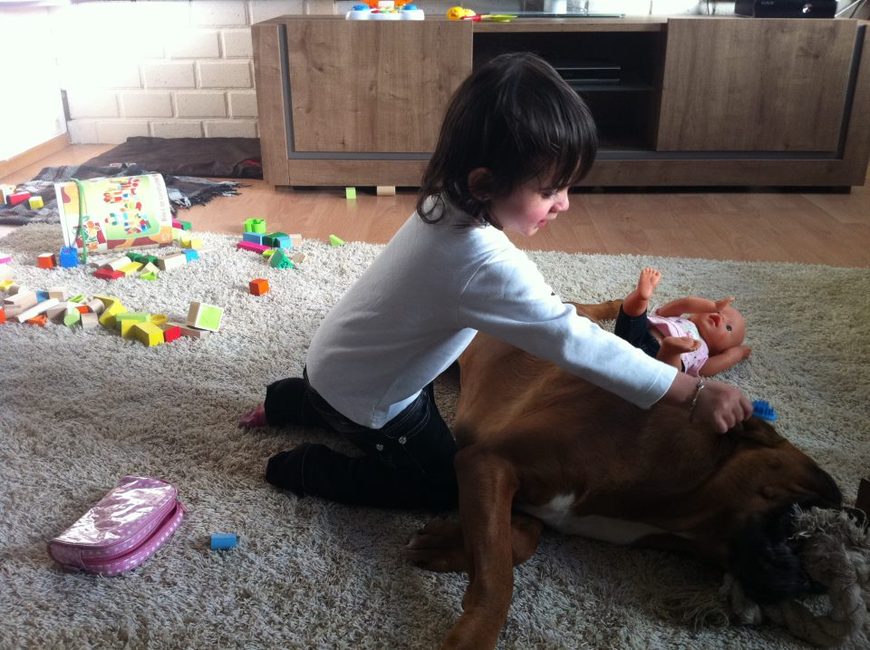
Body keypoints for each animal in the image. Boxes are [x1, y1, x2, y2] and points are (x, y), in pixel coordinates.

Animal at [404, 300, 842, 650]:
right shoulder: (488, 461)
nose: (821, 580)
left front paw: (445, 544)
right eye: (818, 499)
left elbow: (518, 540)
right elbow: (497, 580)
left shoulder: (502, 481)